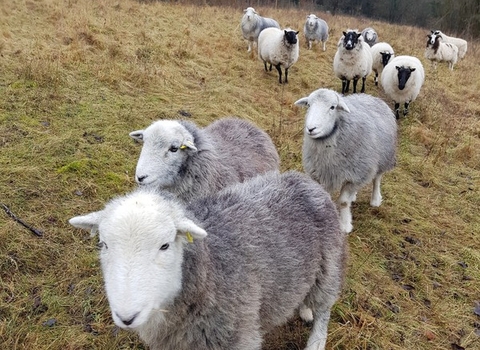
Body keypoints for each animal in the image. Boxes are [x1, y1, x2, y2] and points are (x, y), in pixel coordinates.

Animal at [69, 170, 346, 350]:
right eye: (103, 244)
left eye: (165, 245)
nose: (126, 317)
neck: (210, 269)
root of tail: (305, 180)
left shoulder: (237, 336)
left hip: (329, 266)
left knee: (324, 308)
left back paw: (316, 340)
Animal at [296, 89, 398, 234]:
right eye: (308, 105)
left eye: (332, 107)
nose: (311, 128)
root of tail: (371, 97)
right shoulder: (321, 173)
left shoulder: (355, 175)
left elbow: (344, 202)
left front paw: (345, 225)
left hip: (382, 159)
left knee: (377, 179)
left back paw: (375, 199)